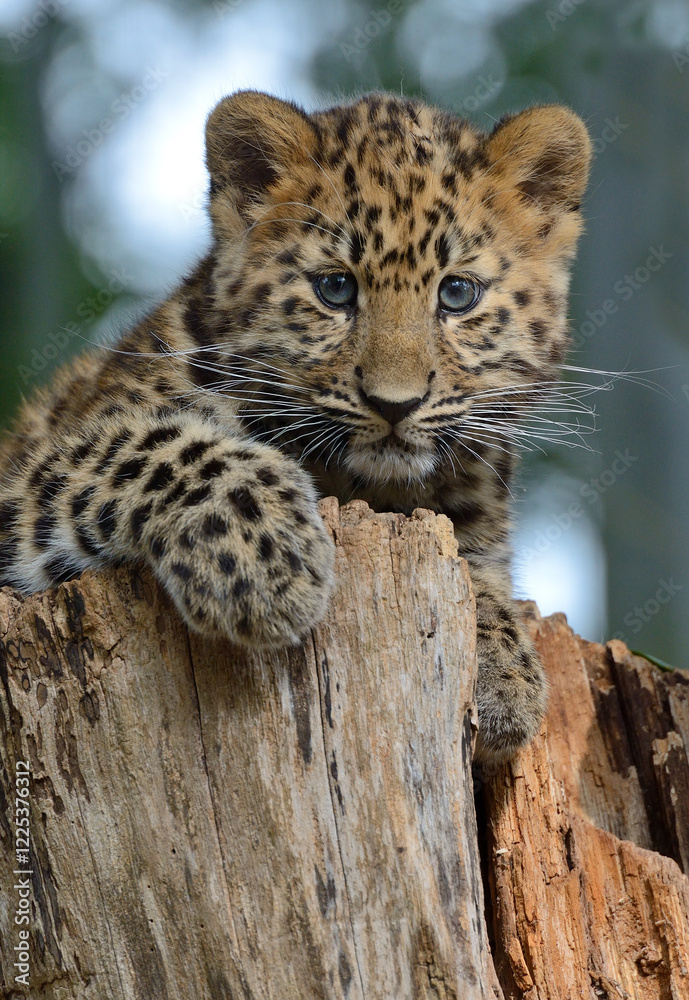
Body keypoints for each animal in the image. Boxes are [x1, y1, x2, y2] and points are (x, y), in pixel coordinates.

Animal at [0, 90, 591, 762]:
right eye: (335, 288)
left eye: (458, 294)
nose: (395, 404)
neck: (358, 486)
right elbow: (151, 446)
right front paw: (266, 563)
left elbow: (475, 567)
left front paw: (504, 672)